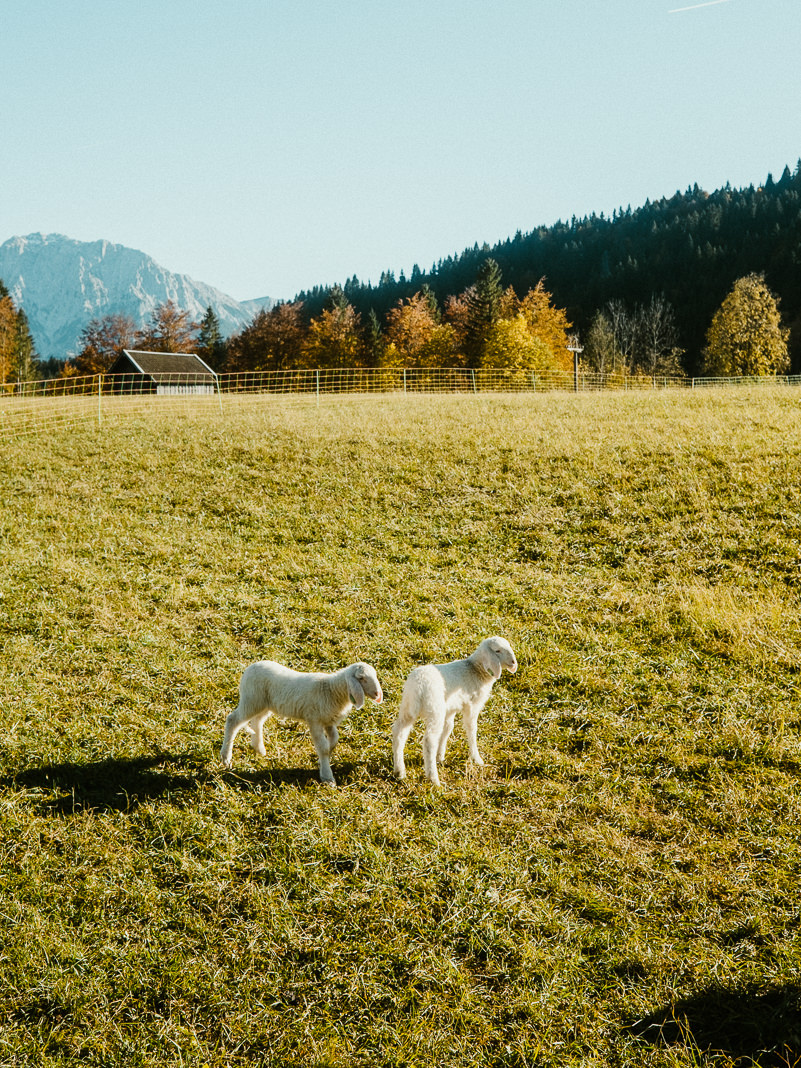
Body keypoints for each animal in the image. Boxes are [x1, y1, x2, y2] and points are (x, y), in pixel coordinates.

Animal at [217, 657, 384, 786]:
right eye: (361, 678)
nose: (377, 694)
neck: (332, 689)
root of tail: (250, 668)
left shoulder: (328, 721)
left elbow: (334, 741)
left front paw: (324, 760)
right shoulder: (314, 720)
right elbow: (323, 747)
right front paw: (327, 776)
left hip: (263, 704)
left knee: (257, 721)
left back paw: (259, 748)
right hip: (251, 700)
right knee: (232, 720)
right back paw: (226, 758)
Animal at [393, 636, 516, 790]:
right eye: (497, 651)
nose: (513, 662)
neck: (475, 669)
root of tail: (418, 686)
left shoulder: (450, 708)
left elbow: (448, 728)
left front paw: (440, 756)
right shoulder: (472, 705)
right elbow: (471, 729)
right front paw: (476, 758)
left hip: (407, 707)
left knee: (399, 733)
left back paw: (399, 771)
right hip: (435, 709)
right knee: (429, 741)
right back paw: (433, 779)